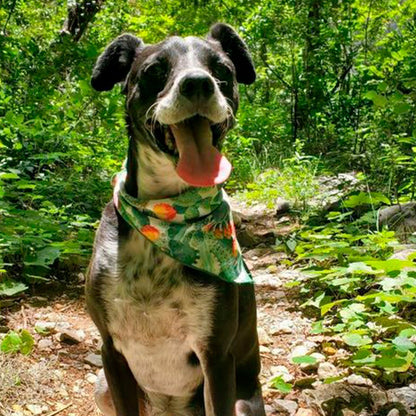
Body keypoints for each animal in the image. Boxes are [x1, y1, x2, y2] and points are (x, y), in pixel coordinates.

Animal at [85, 23, 264, 416]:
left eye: (222, 69)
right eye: (154, 70)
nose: (197, 84)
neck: (166, 215)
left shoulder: (216, 356)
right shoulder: (111, 352)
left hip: (243, 402)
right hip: (101, 387)